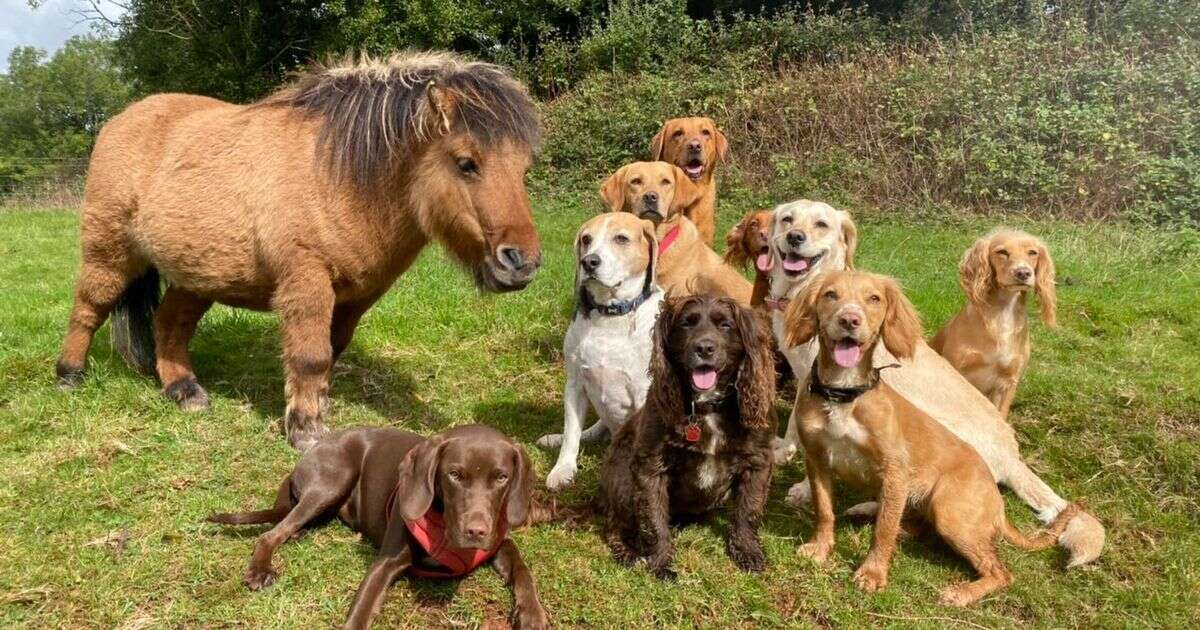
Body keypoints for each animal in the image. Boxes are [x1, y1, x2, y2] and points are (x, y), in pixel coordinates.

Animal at [56, 51, 544, 448]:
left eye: (523, 168)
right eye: (466, 163)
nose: (523, 263)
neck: (338, 176)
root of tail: (118, 121)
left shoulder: (357, 297)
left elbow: (330, 351)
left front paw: (315, 411)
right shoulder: (305, 281)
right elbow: (310, 357)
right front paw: (305, 430)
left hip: (197, 276)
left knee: (169, 323)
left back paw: (184, 390)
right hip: (110, 253)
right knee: (90, 307)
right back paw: (69, 375)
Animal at [537, 213, 662, 489]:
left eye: (621, 239)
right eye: (586, 239)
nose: (589, 262)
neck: (611, 315)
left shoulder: (644, 393)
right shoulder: (575, 384)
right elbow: (571, 435)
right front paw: (563, 469)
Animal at [758, 199, 1104, 566]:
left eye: (821, 224)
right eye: (788, 219)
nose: (795, 237)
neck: (802, 290)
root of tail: (1012, 457)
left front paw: (803, 488)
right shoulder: (805, 379)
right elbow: (796, 425)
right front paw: (785, 450)